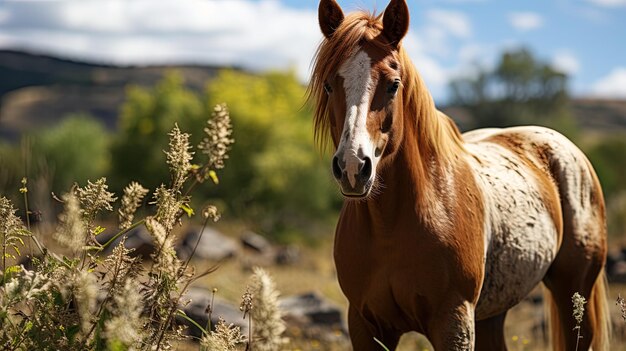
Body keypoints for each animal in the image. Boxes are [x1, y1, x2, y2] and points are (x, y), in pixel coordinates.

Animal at [310, 1, 608, 350]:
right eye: (329, 84)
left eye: (393, 84)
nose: (354, 167)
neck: (392, 225)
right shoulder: (364, 324)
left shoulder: (453, 323)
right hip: (492, 313)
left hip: (574, 292)